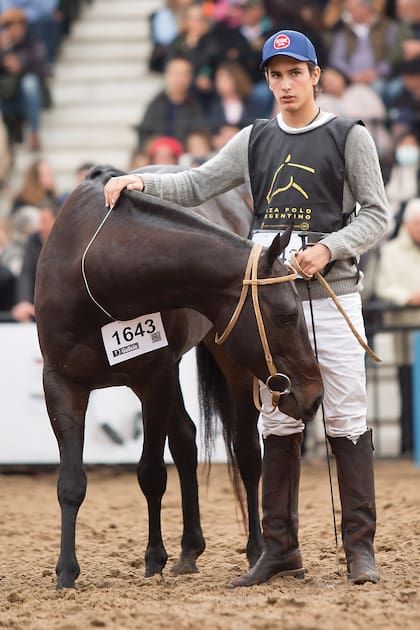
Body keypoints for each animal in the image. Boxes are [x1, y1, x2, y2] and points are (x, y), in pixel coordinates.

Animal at [34, 167, 322, 592]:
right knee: (186, 441)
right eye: (287, 315)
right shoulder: (61, 386)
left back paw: (256, 550)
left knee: (247, 454)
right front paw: (66, 573)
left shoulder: (154, 380)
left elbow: (151, 474)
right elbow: (71, 482)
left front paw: (154, 559)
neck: (95, 275)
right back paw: (190, 549)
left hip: (231, 365)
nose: (315, 393)